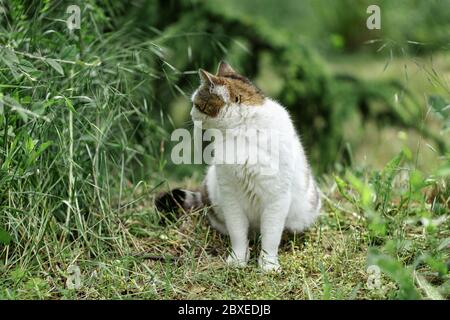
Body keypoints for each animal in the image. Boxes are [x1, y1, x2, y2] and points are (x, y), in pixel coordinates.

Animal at [155, 61, 320, 272]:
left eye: (196, 104)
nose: (191, 115)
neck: (242, 130)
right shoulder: (231, 197)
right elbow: (238, 234)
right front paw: (238, 260)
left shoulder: (276, 198)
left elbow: (271, 237)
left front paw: (268, 265)